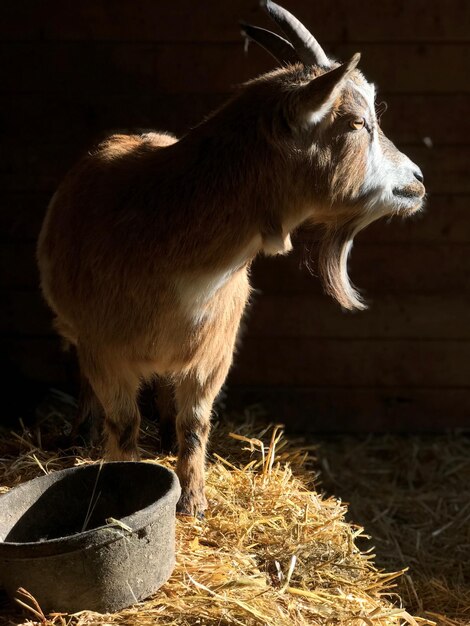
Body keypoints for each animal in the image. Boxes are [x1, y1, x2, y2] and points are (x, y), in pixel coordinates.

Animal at [36, 2, 426, 516]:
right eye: (358, 123)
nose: (417, 180)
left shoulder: (214, 353)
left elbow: (196, 423)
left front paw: (193, 501)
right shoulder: (106, 352)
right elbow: (123, 425)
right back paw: (79, 433)